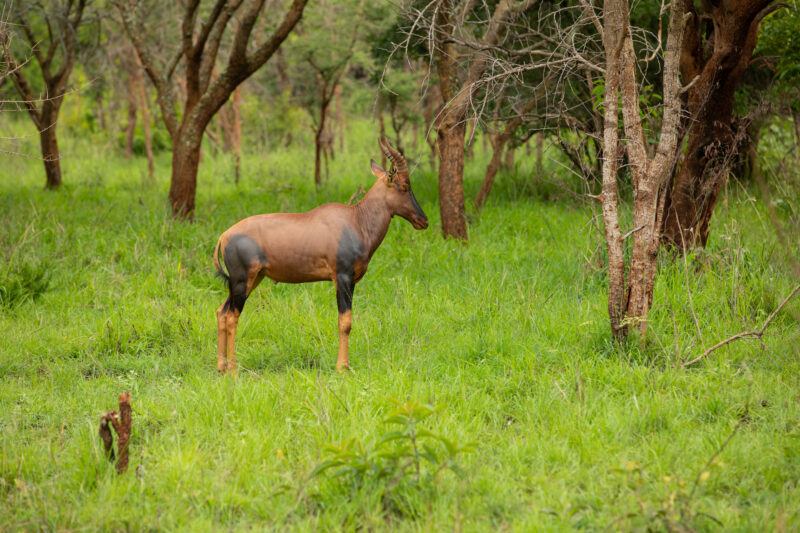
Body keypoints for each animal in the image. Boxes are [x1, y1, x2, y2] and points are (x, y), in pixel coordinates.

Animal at [213, 138, 428, 374]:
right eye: (405, 186)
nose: (423, 221)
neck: (356, 220)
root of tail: (223, 236)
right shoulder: (341, 277)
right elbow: (345, 322)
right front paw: (342, 367)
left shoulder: (352, 281)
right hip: (242, 281)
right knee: (231, 317)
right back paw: (233, 371)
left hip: (251, 280)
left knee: (222, 312)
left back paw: (221, 367)